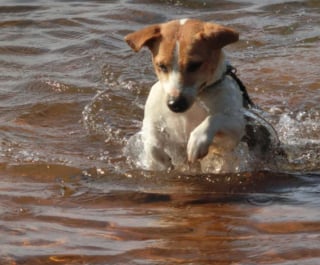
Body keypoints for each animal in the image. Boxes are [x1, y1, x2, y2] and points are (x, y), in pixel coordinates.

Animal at [125, 19, 282, 171]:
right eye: (162, 66)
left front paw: (197, 141)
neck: (198, 99)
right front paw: (160, 159)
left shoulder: (235, 128)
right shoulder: (153, 119)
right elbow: (151, 140)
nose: (175, 104)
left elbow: (215, 118)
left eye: (194, 65)